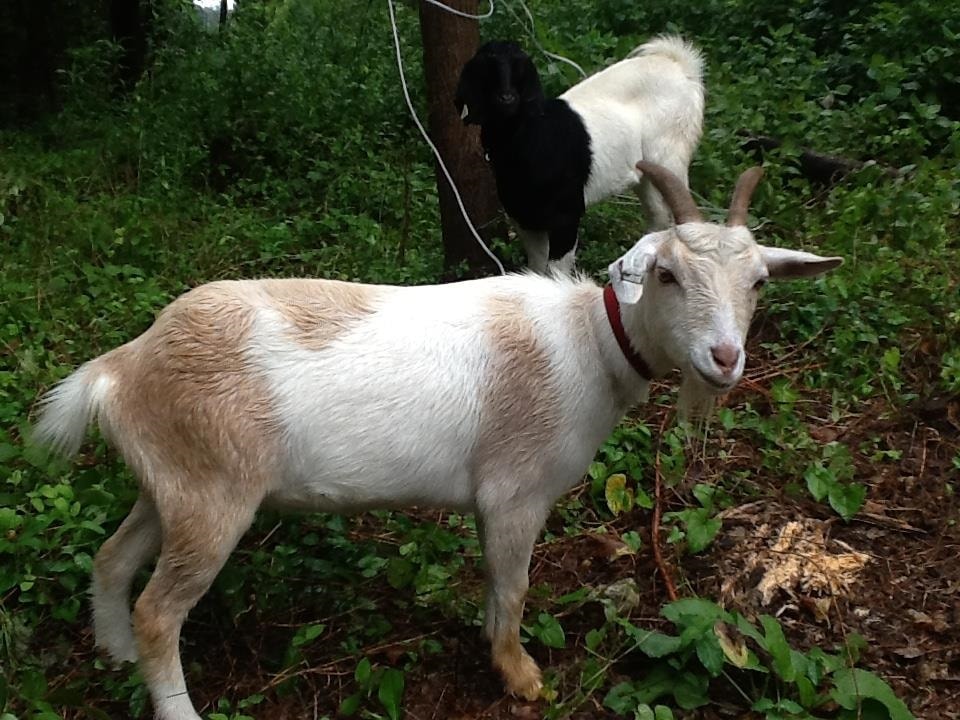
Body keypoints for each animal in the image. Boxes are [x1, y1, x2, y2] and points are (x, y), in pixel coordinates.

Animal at [31, 163, 840, 720]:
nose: (723, 359)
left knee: (112, 559)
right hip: (213, 498)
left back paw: (113, 652)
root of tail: (121, 367)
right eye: (667, 273)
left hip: (172, 484)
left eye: (760, 282)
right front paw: (521, 676)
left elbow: (492, 586)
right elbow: (514, 587)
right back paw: (174, 701)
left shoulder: (492, 503)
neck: (590, 343)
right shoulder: (515, 492)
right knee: (159, 611)